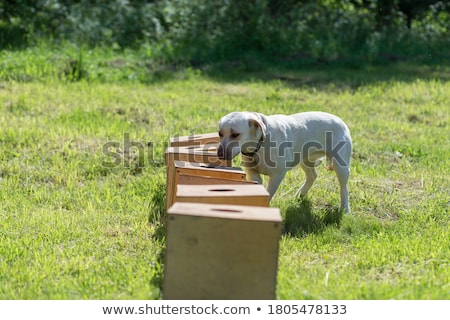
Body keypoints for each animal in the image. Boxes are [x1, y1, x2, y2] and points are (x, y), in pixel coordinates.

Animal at [217, 112, 352, 212]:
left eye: (235, 134)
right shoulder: (252, 172)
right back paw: (301, 194)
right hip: (305, 160)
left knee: (343, 188)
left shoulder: (277, 175)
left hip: (341, 166)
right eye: (220, 134)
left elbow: (268, 193)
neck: (261, 144)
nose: (220, 154)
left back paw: (345, 209)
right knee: (312, 176)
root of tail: (339, 120)